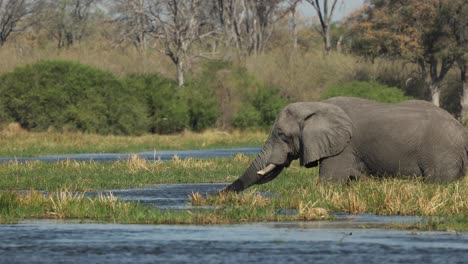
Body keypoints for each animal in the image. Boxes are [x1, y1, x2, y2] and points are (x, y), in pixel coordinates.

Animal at [224, 97, 468, 192]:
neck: (316, 106)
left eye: (281, 134)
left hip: (441, 155)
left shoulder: (342, 148)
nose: (221, 194)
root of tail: (461, 130)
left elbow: (328, 184)